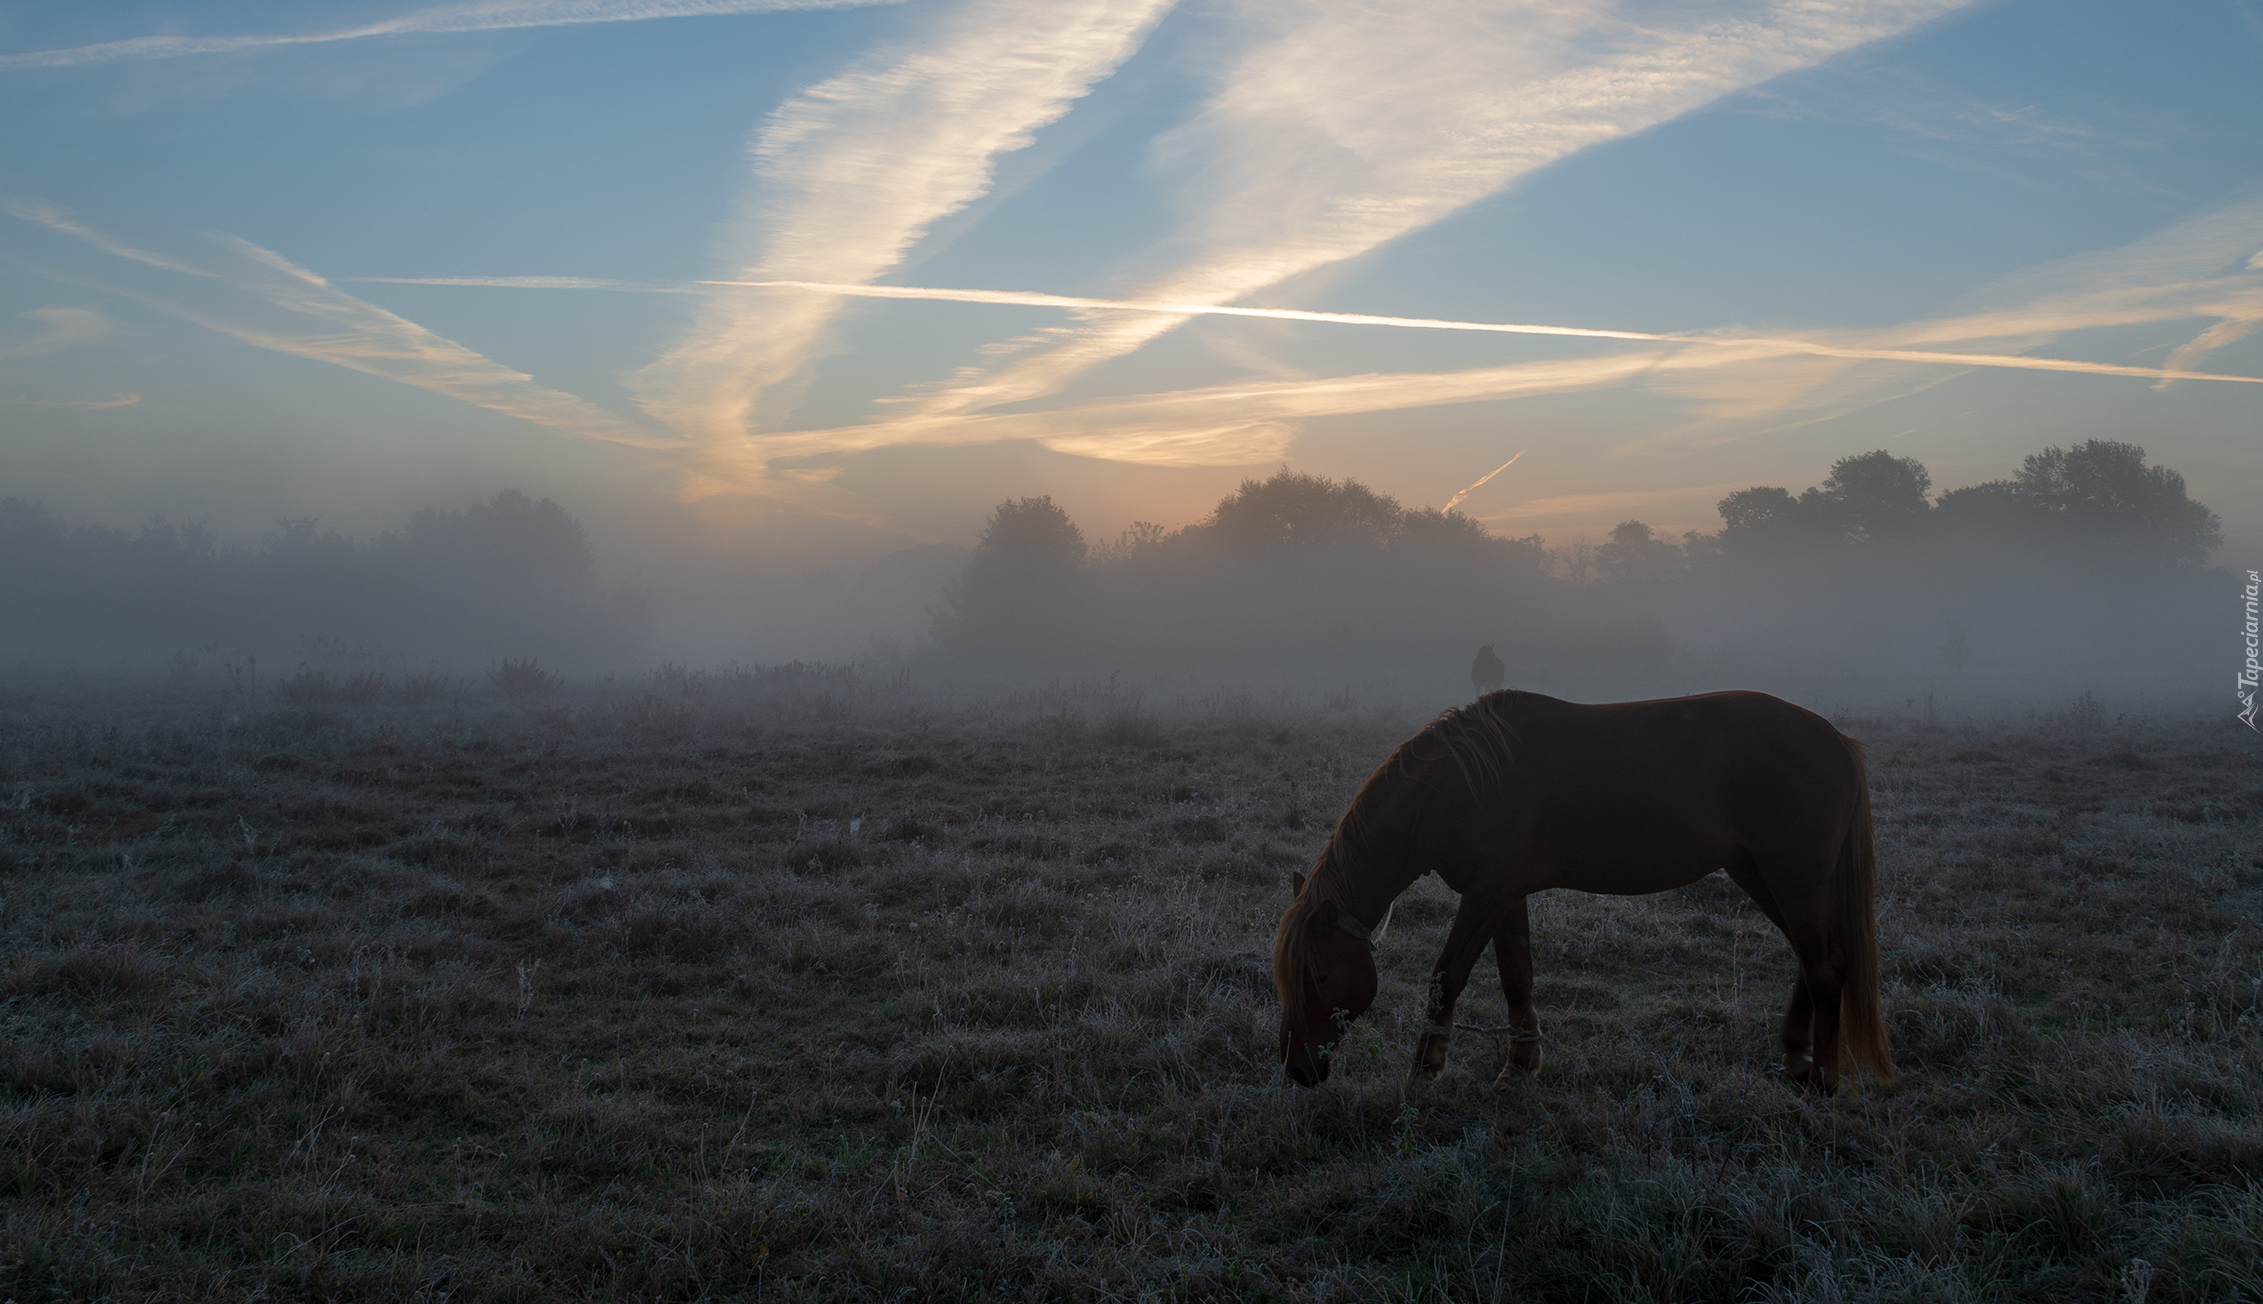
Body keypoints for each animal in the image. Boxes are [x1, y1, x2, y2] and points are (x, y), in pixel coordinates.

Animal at [1276, 688, 1891, 1095]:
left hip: (1794, 882)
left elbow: (1446, 977)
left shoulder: (1487, 894)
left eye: (1319, 976)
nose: (1297, 1069)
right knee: (1815, 961)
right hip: (1764, 878)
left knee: (1825, 969)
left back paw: (1824, 1079)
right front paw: (1519, 1066)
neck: (1461, 784)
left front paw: (1425, 1071)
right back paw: (1796, 1057)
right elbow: (1516, 977)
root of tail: (1837, 741)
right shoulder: (1504, 894)